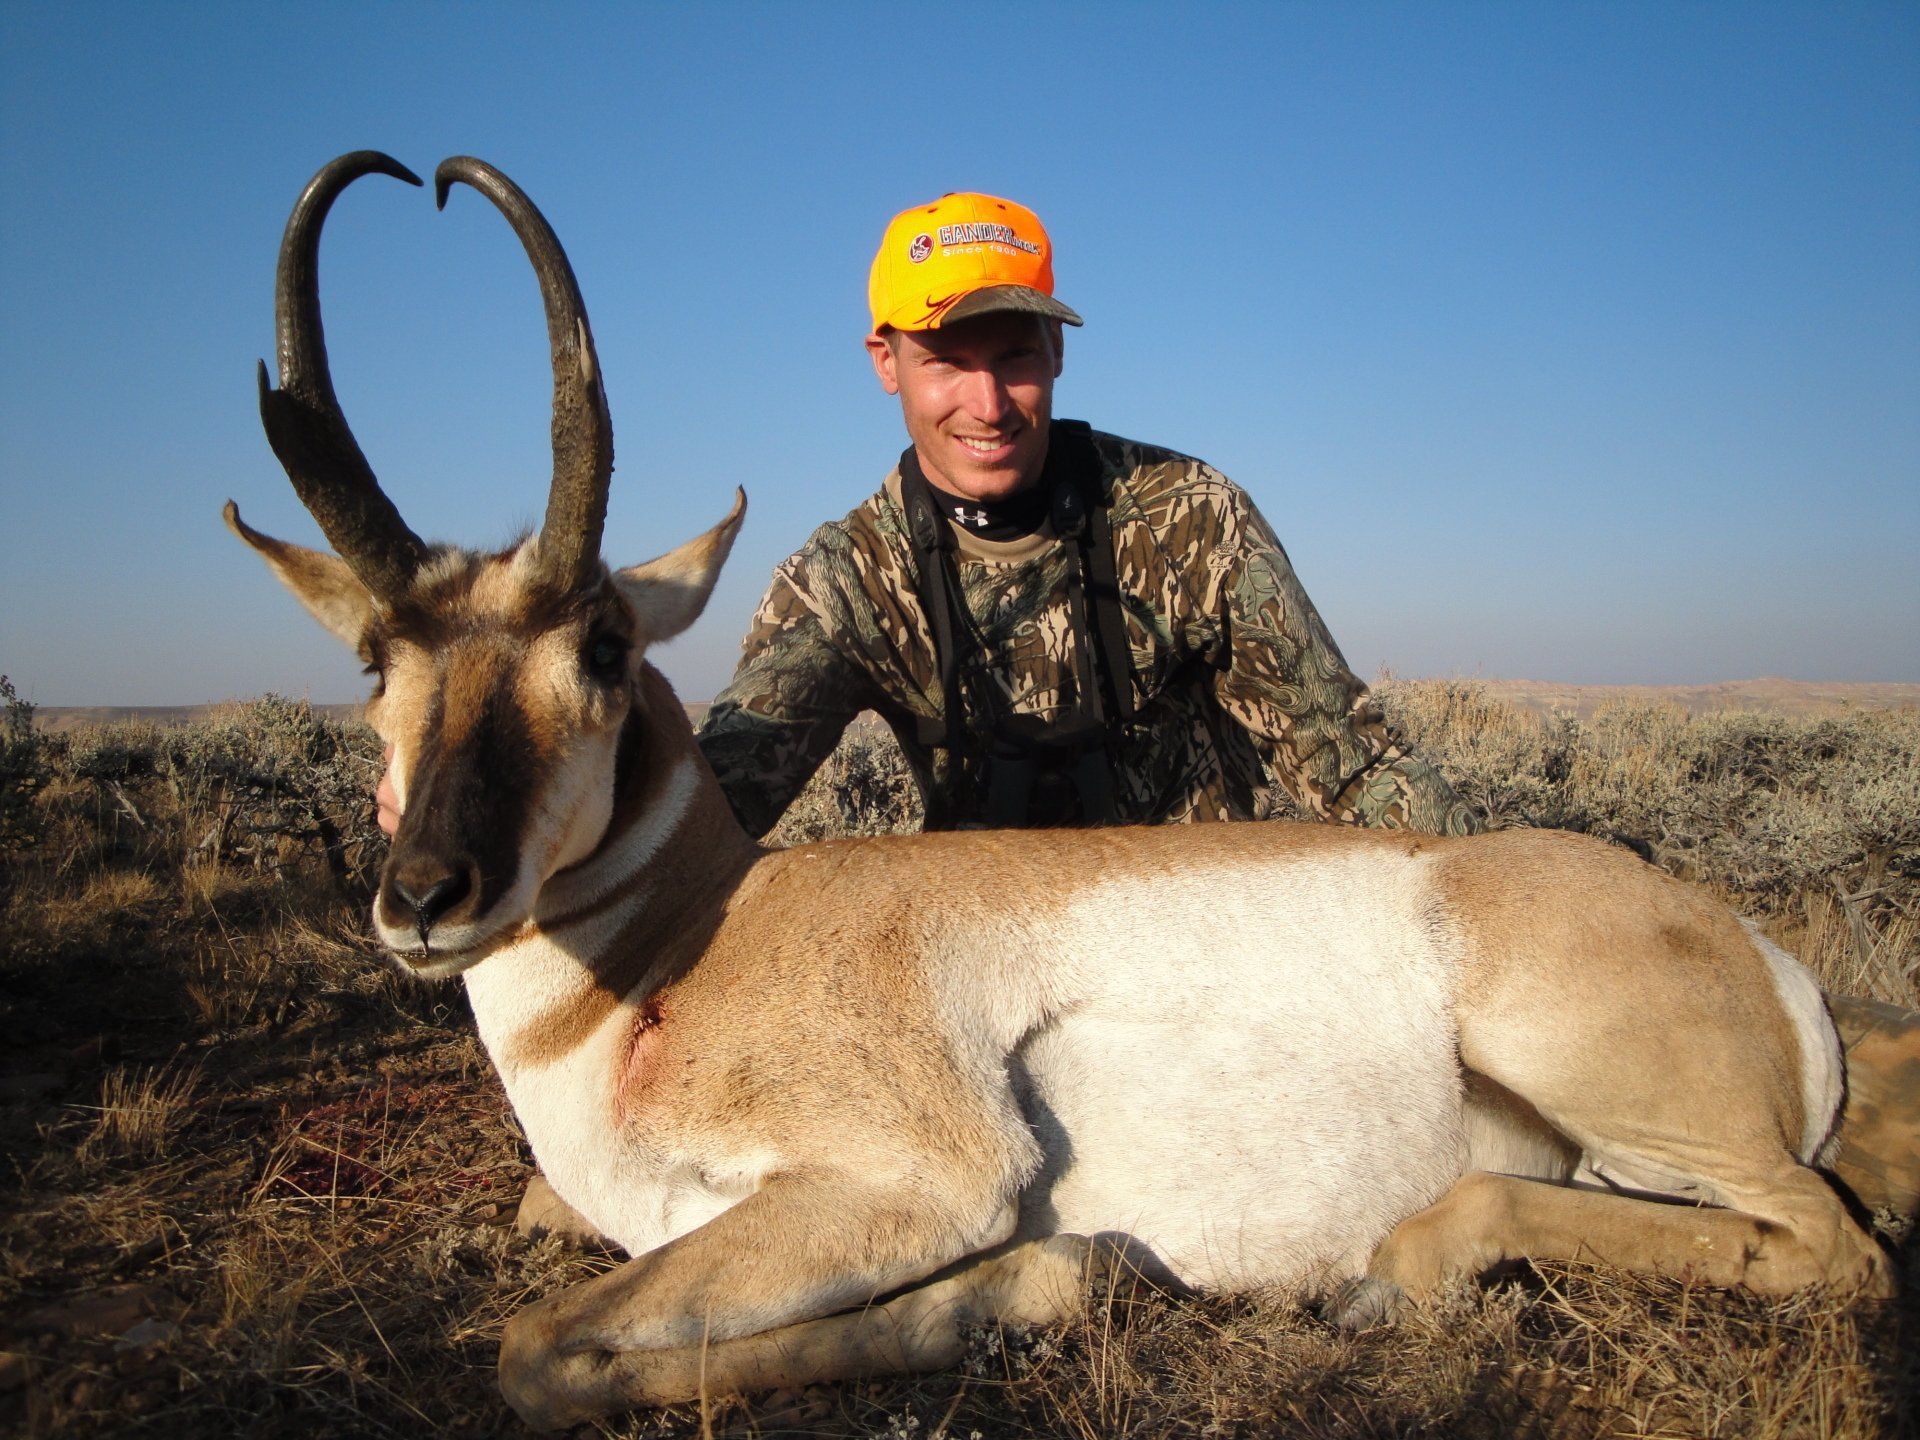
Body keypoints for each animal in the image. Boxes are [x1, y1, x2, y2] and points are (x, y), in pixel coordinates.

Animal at [228, 152, 1890, 1431]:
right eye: (377, 656)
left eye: (602, 641)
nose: (425, 897)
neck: (685, 948)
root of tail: (1756, 953)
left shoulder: (921, 1183)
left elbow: (541, 1349)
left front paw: (1050, 1278)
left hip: (1589, 1075)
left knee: (1835, 1244)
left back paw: (1394, 1272)